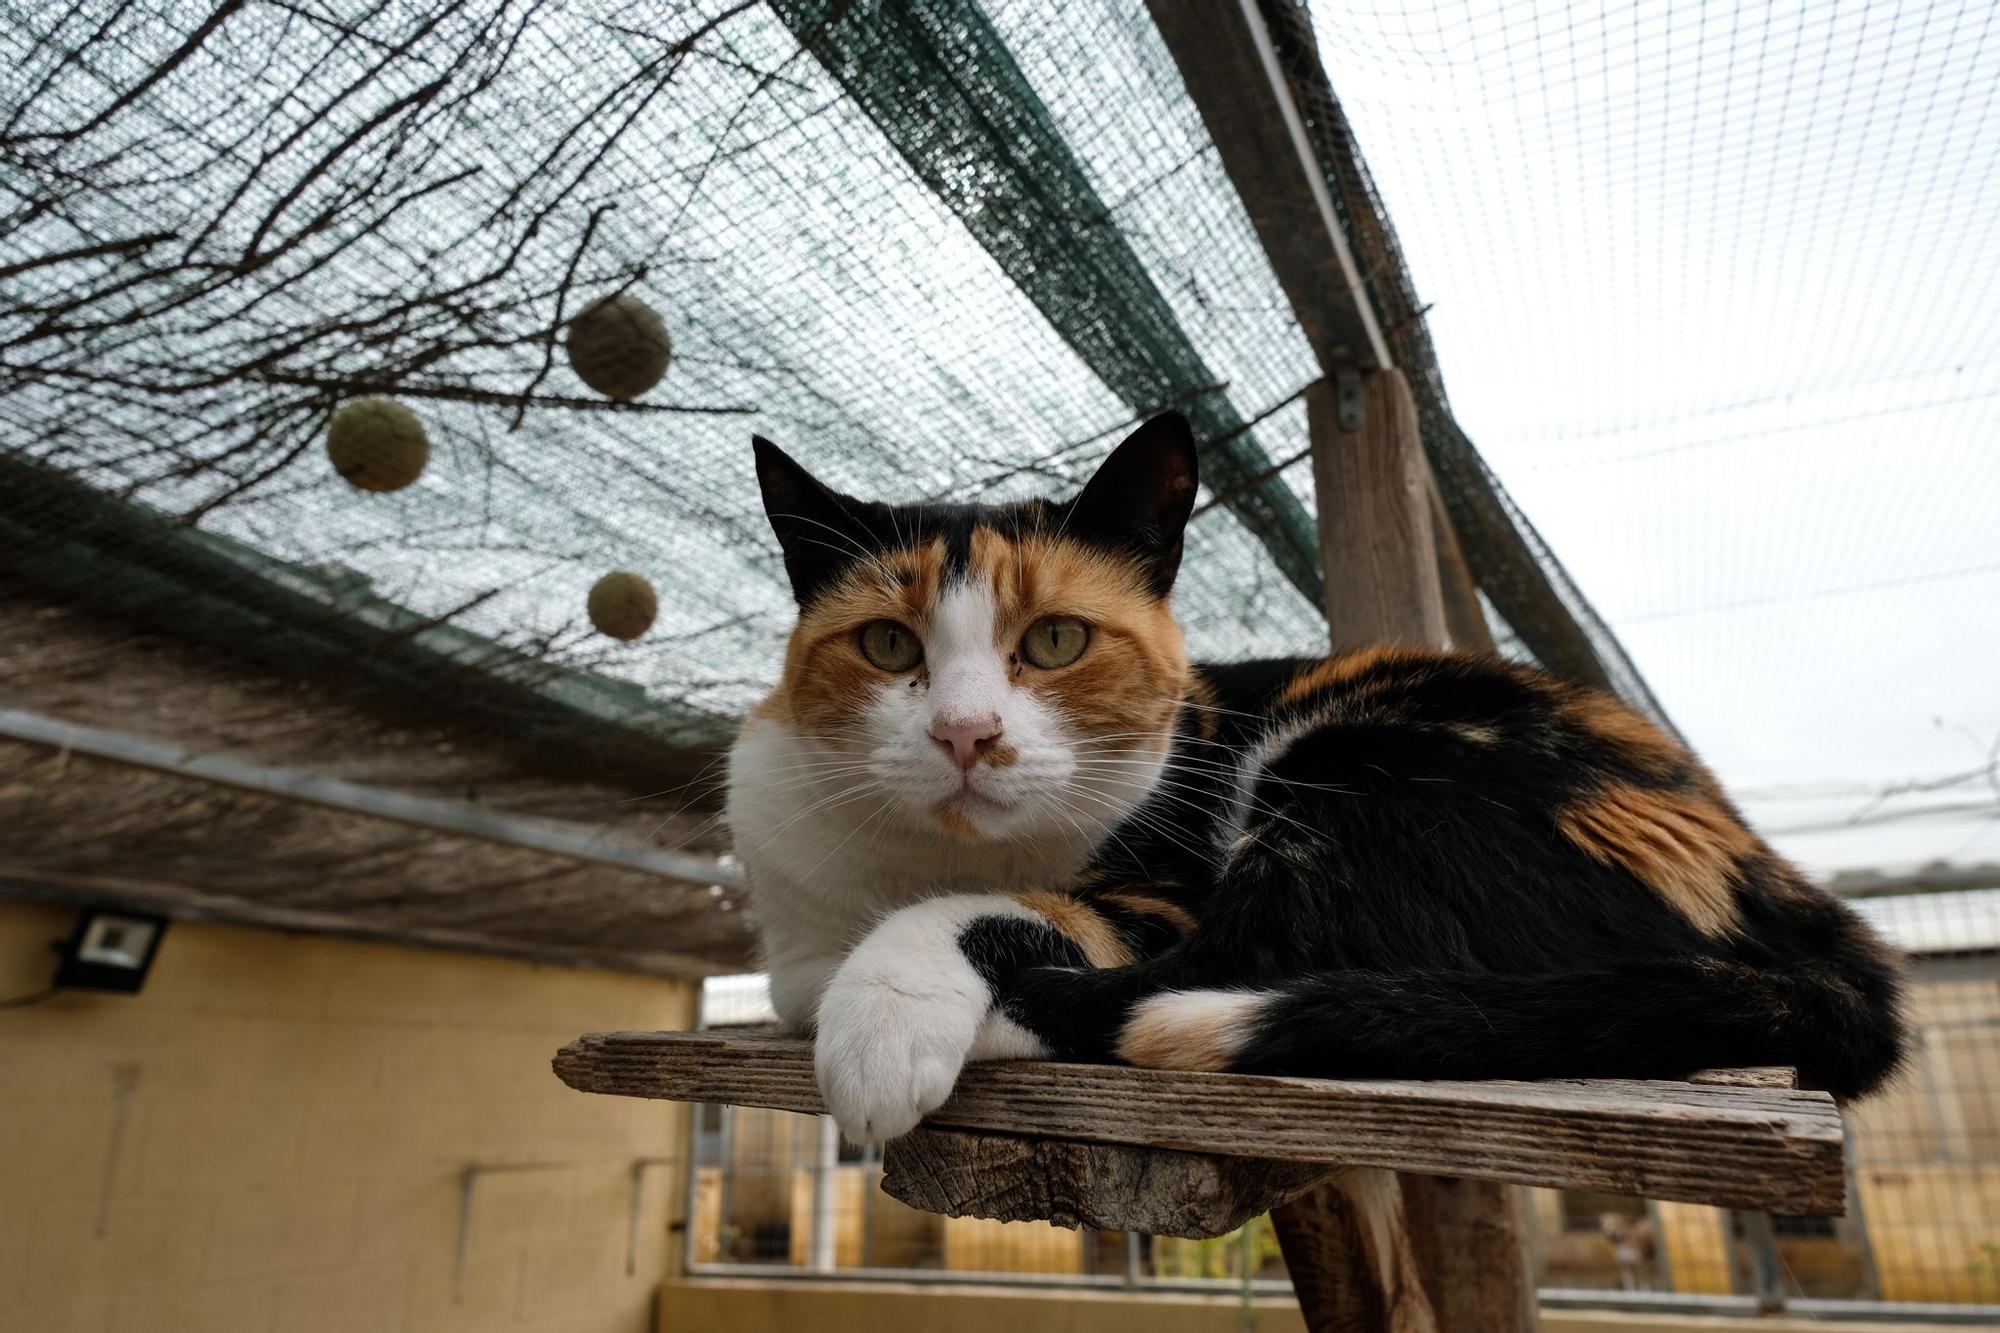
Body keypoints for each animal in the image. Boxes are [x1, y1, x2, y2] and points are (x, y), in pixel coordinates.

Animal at [732, 410, 1904, 1136]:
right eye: (887, 644)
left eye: (1058, 639)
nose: (966, 733)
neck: (920, 859)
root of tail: (1780, 886)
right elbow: (795, 979)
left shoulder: (1161, 881)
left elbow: (1004, 914)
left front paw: (883, 1013)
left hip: (1365, 762)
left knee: (1243, 958)